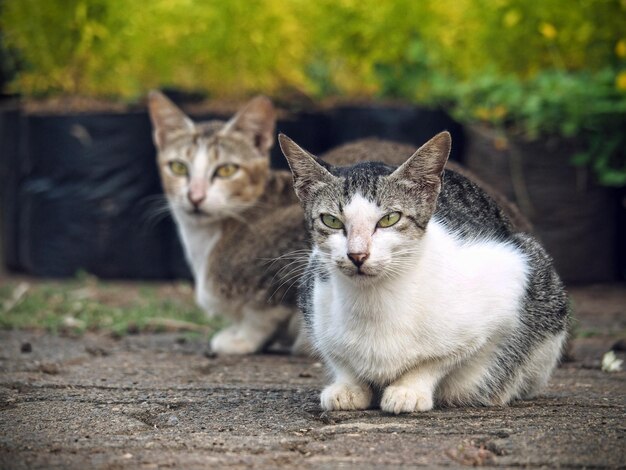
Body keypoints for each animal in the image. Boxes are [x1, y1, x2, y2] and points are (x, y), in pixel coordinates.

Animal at [280, 131, 568, 412]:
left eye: (389, 218)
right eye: (331, 220)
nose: (357, 255)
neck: (373, 302)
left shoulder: (508, 278)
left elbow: (439, 360)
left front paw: (408, 390)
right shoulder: (314, 296)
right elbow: (338, 357)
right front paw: (349, 387)